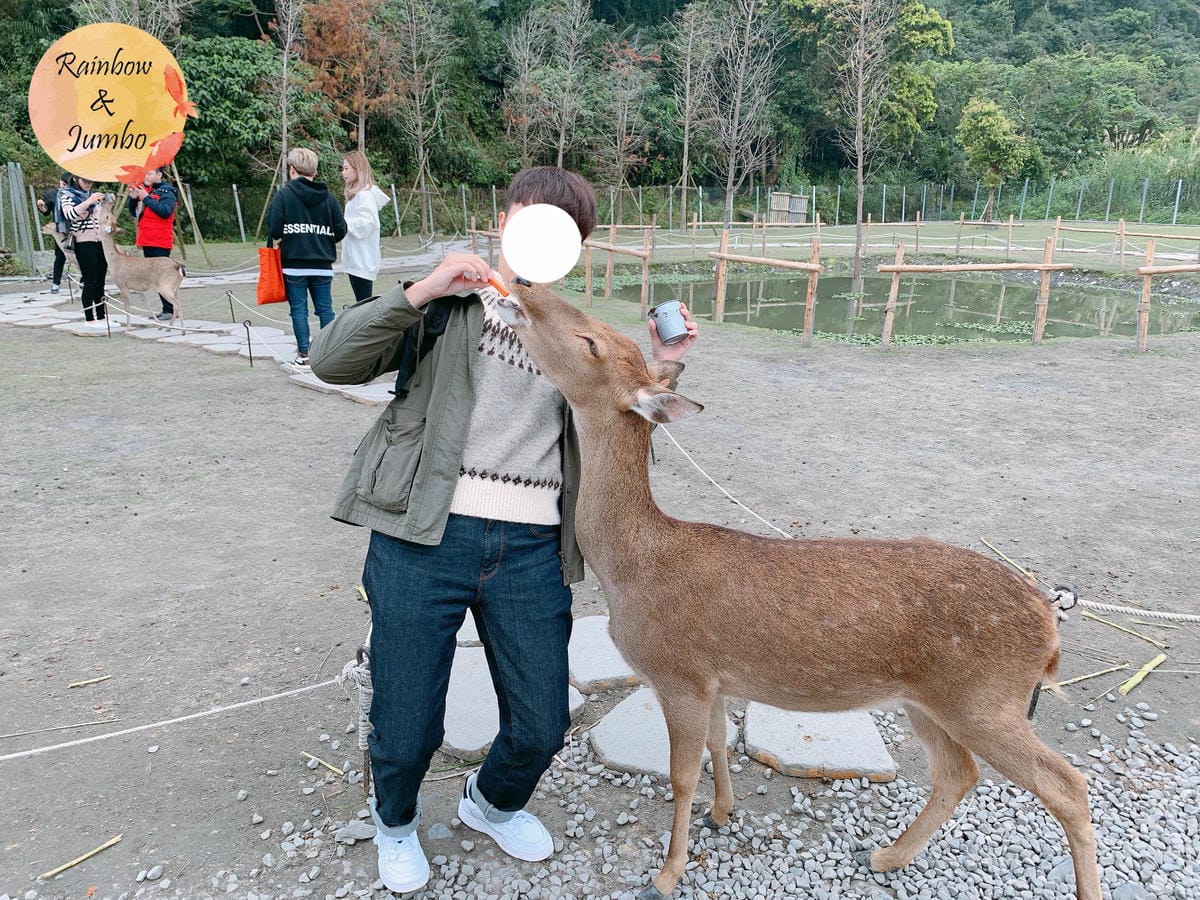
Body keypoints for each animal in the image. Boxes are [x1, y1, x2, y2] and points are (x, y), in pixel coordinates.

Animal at [97, 199, 186, 332]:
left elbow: (127, 307)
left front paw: (128, 328)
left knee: (177, 304)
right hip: (175, 288)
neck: (113, 260)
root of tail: (179, 266)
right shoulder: (139, 288)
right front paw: (158, 324)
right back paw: (169, 328)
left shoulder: (122, 284)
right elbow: (148, 306)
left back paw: (183, 330)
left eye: (108, 216)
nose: (103, 201)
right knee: (177, 304)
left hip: (165, 286)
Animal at [492, 281, 1101, 900]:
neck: (630, 570)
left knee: (1068, 785)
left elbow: (681, 775)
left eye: (590, 341)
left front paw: (665, 874)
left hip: (986, 699)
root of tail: (1049, 620)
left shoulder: (677, 671)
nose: (522, 286)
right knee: (960, 773)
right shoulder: (712, 677)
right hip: (932, 700)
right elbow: (718, 742)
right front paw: (723, 813)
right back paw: (885, 856)